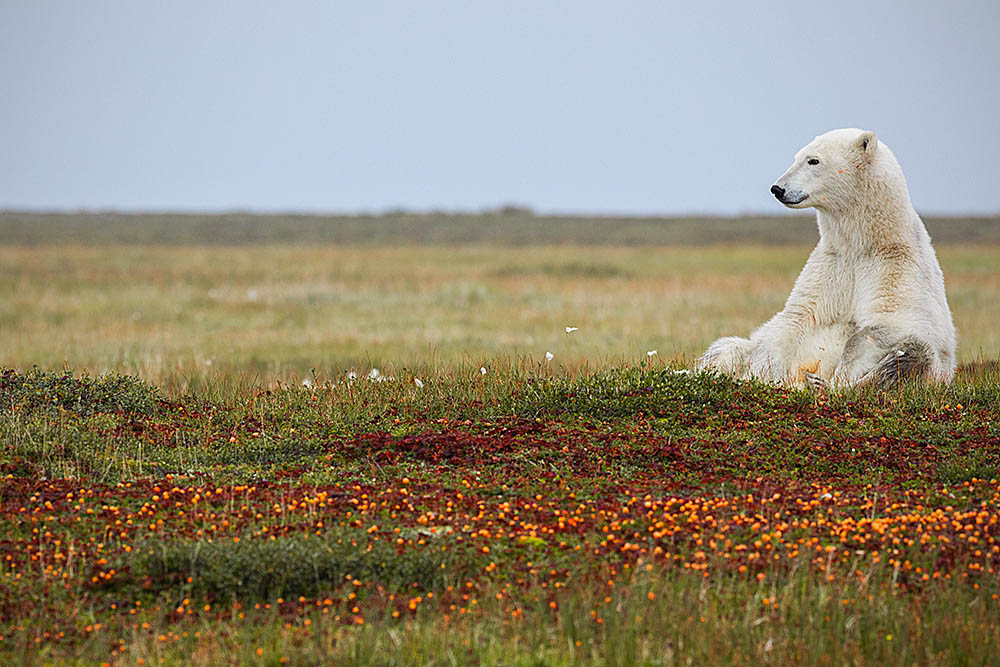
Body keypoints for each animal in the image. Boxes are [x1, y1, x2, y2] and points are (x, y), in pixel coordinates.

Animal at [700, 129, 956, 388]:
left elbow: (888, 325)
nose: (778, 189)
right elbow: (794, 319)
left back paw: (823, 384)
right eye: (796, 157)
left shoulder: (896, 266)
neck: (862, 244)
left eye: (813, 160)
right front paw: (764, 374)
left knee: (912, 355)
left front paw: (838, 379)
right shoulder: (831, 265)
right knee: (727, 347)